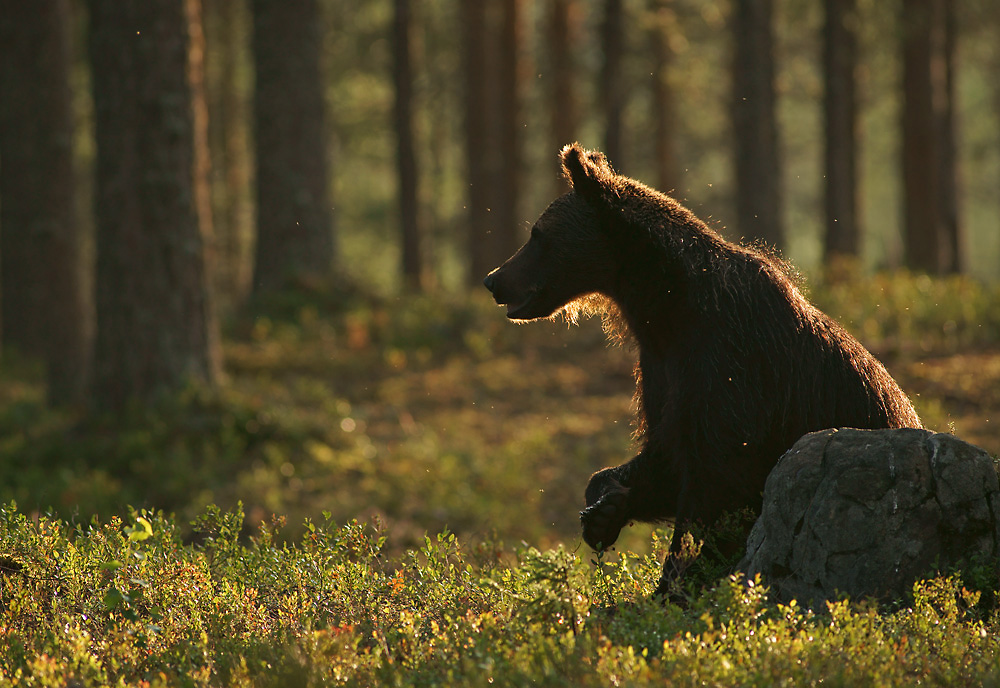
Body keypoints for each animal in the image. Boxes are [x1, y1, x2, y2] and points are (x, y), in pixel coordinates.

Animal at [482, 144, 920, 596]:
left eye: (537, 234)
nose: (493, 279)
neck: (664, 307)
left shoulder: (731, 359)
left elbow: (718, 474)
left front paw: (677, 579)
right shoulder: (661, 370)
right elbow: (664, 452)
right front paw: (604, 508)